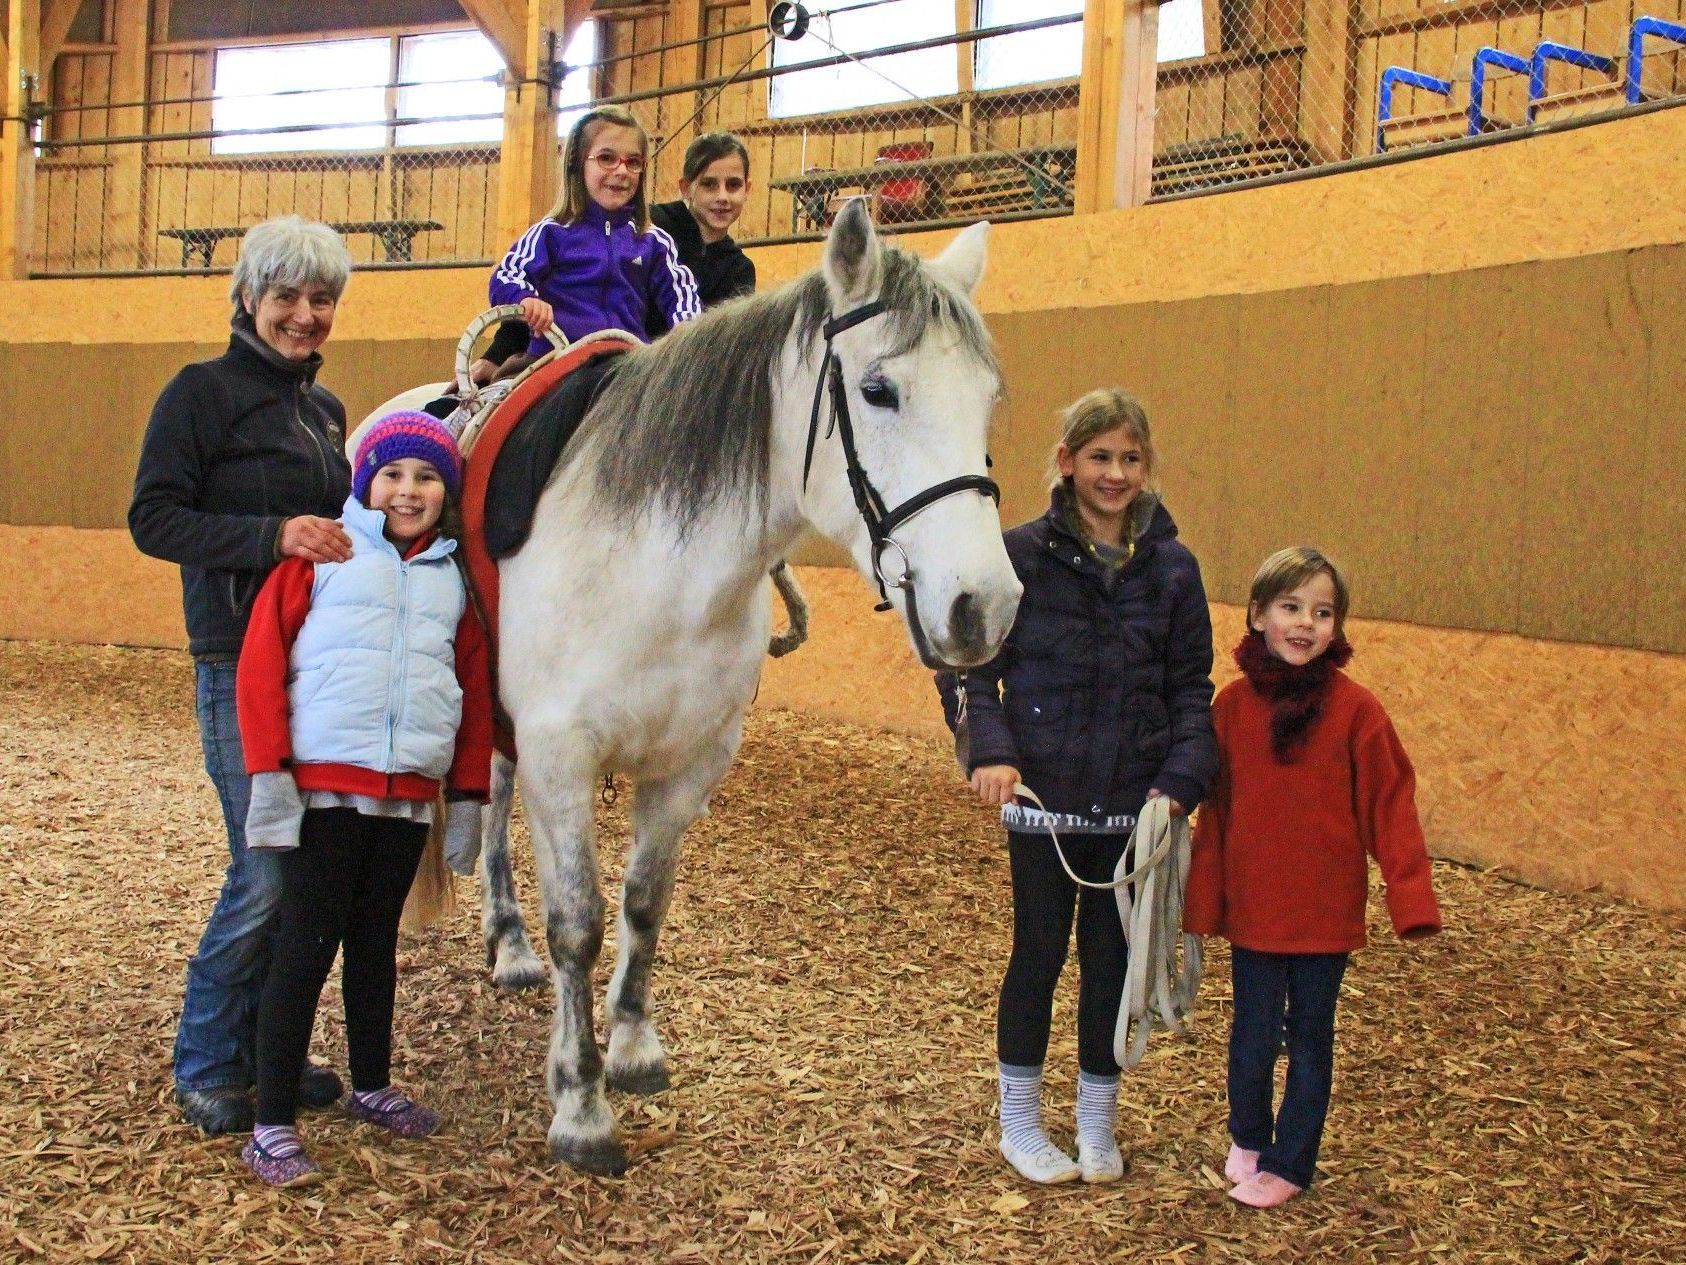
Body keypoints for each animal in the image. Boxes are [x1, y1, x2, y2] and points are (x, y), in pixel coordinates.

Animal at [482, 203, 1018, 1173]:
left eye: (987, 399)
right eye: (878, 391)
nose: (984, 606)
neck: (655, 569)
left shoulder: (692, 763)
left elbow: (645, 904)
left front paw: (631, 1046)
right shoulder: (557, 755)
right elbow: (578, 921)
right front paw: (579, 1103)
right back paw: (506, 943)